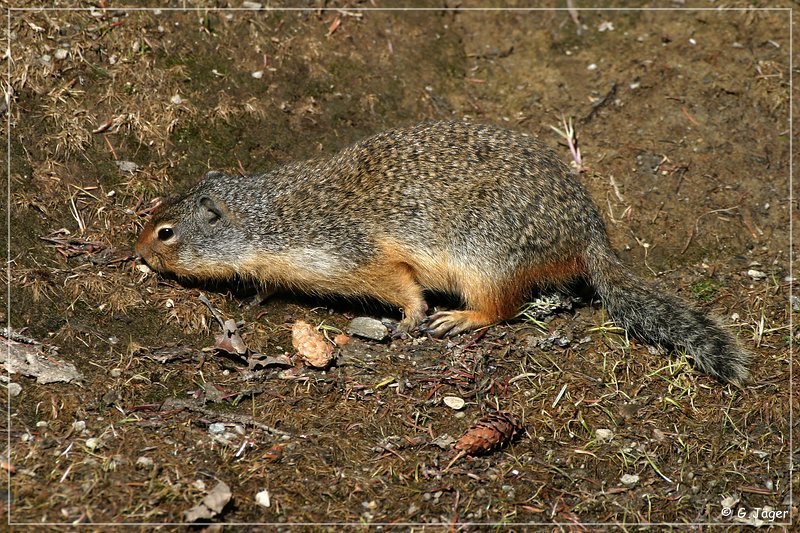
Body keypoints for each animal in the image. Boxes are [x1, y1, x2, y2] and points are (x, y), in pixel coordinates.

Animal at [134, 120, 752, 384]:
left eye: (165, 232)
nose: (137, 249)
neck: (270, 217)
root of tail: (589, 238)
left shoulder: (351, 255)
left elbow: (401, 284)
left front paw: (412, 318)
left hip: (487, 258)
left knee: (502, 307)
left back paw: (460, 319)